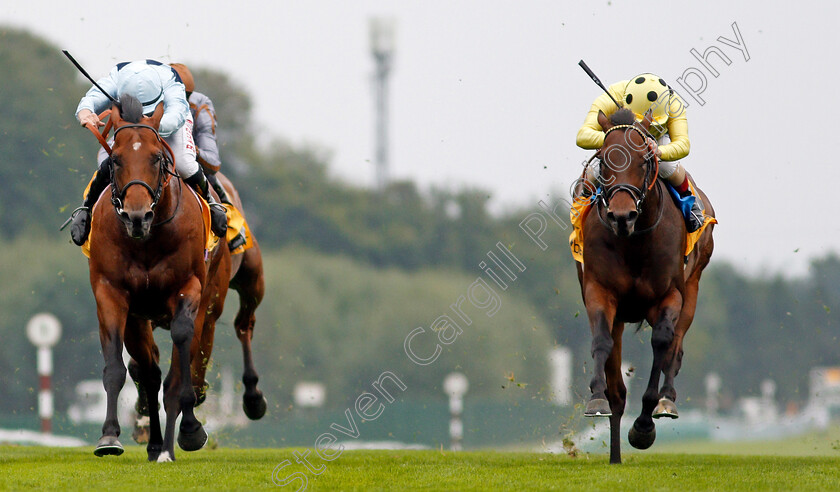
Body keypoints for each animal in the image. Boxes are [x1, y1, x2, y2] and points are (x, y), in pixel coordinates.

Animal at [86, 95, 264, 462]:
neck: (147, 240)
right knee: (152, 371)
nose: (137, 216)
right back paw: (155, 439)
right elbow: (122, 369)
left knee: (241, 325)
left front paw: (189, 430)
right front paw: (111, 436)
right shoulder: (115, 296)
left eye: (157, 158)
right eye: (115, 160)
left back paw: (249, 398)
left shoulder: (190, 292)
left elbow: (181, 365)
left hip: (244, 282)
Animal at [576, 105, 716, 464]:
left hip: (694, 287)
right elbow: (600, 343)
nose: (621, 216)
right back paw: (614, 453)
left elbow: (663, 344)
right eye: (604, 161)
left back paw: (667, 399)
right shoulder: (599, 292)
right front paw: (597, 399)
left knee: (676, 348)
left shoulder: (670, 295)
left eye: (643, 161)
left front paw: (643, 426)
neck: (634, 241)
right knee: (618, 384)